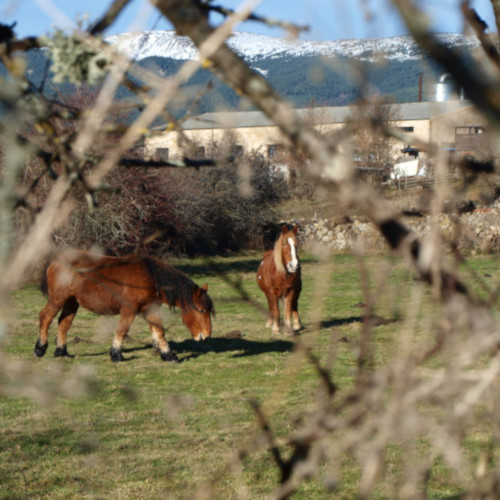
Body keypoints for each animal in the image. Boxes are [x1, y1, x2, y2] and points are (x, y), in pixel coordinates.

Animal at [34, 252, 215, 362]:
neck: (150, 276)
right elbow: (122, 330)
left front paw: (168, 354)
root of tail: (56, 260)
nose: (206, 336)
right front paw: (116, 355)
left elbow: (159, 331)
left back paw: (61, 352)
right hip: (57, 299)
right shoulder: (129, 310)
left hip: (71, 302)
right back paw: (40, 348)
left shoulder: (150, 309)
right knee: (45, 317)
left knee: (63, 323)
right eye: (201, 310)